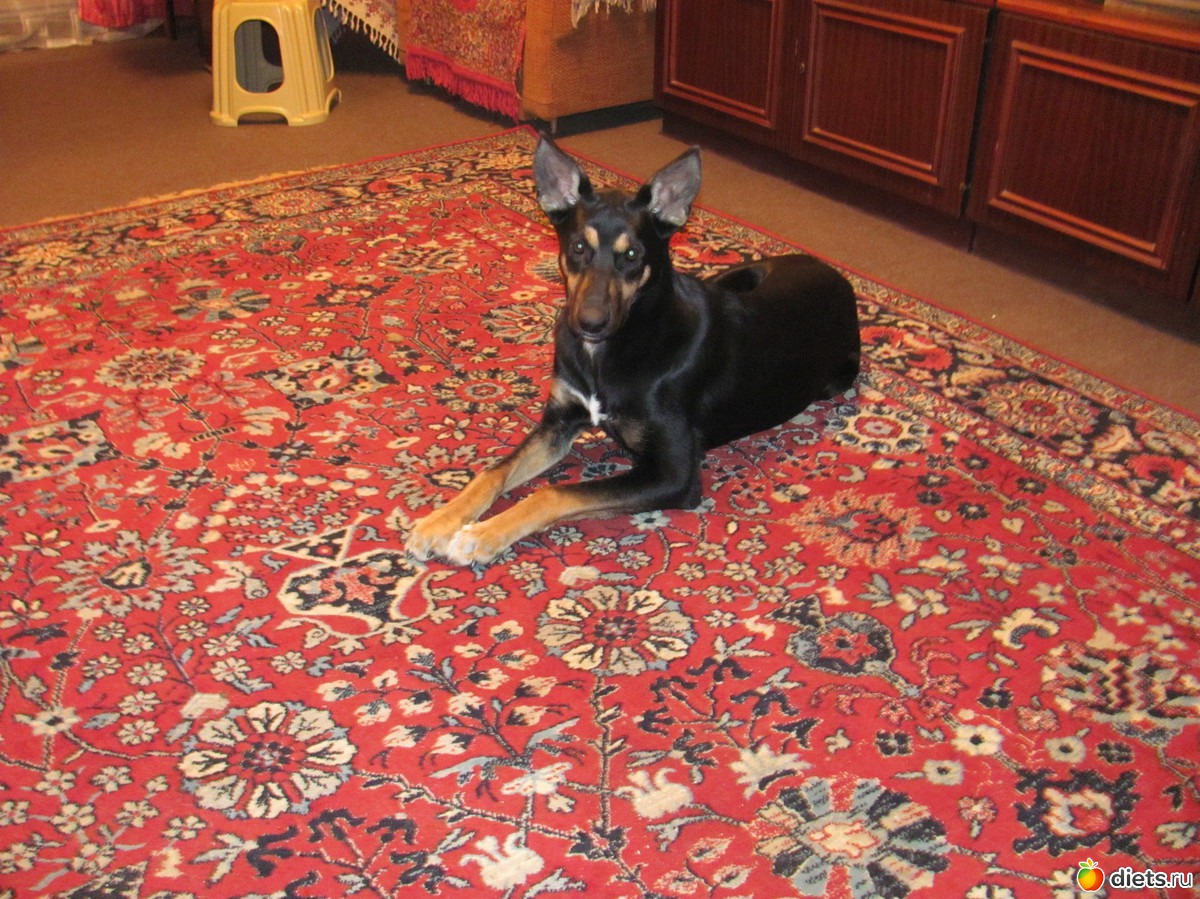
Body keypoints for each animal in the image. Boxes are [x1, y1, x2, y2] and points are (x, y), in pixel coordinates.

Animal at [405, 137, 861, 566]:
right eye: (578, 248)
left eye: (631, 255)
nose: (588, 323)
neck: (612, 349)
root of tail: (834, 273)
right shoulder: (557, 423)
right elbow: (493, 472)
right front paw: (439, 522)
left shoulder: (674, 473)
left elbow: (554, 493)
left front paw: (480, 535)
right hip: (732, 274)